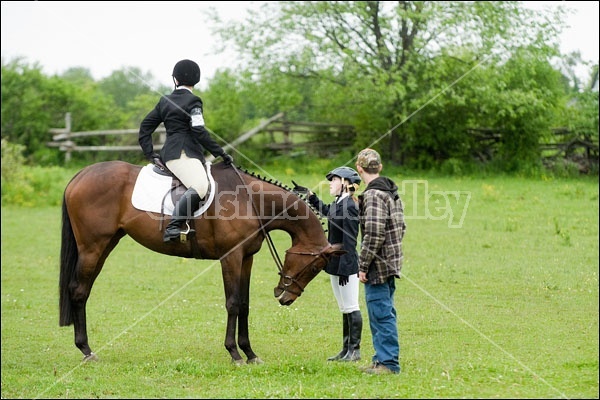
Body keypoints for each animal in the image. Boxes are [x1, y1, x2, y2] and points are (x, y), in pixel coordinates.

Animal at [61, 161, 344, 364]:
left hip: (106, 245)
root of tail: (80, 175)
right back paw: (86, 350)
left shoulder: (247, 258)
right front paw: (234, 353)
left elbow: (244, 304)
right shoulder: (231, 257)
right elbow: (232, 303)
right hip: (93, 248)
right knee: (78, 290)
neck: (252, 201)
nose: (286, 298)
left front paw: (250, 353)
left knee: (83, 290)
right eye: (315, 267)